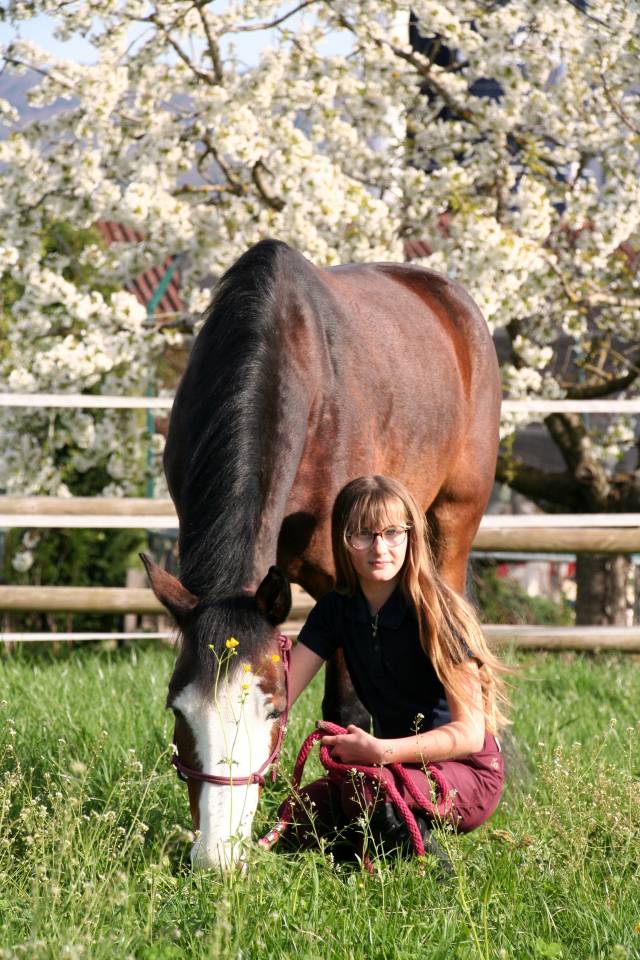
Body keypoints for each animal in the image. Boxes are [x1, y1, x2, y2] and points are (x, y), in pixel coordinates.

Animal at [142, 238, 501, 869]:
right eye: (177, 710)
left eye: (274, 711)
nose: (218, 858)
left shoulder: (344, 586)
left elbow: (345, 716)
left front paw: (363, 834)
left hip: (454, 522)